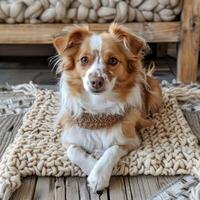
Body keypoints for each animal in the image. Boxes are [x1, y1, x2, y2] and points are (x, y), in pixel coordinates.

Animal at [53, 23, 162, 192]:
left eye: (113, 60)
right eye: (84, 59)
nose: (96, 81)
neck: (98, 108)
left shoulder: (131, 139)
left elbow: (112, 149)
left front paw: (98, 175)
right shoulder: (68, 138)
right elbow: (73, 151)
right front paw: (92, 166)